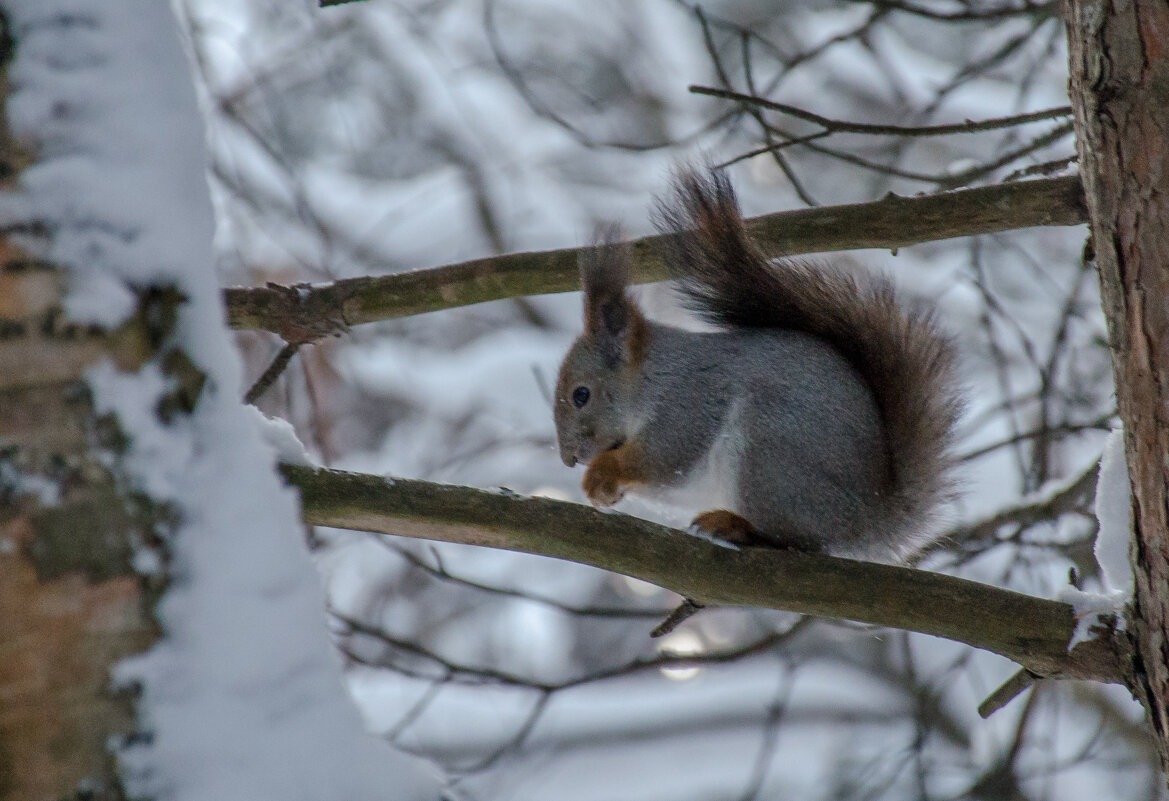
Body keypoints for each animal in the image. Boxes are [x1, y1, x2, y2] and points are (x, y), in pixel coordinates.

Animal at [551, 166, 963, 558]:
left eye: (581, 395)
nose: (569, 460)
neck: (653, 376)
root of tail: (865, 520)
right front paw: (603, 490)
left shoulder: (686, 408)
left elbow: (663, 460)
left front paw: (602, 472)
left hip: (768, 453)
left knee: (795, 538)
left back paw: (734, 526)